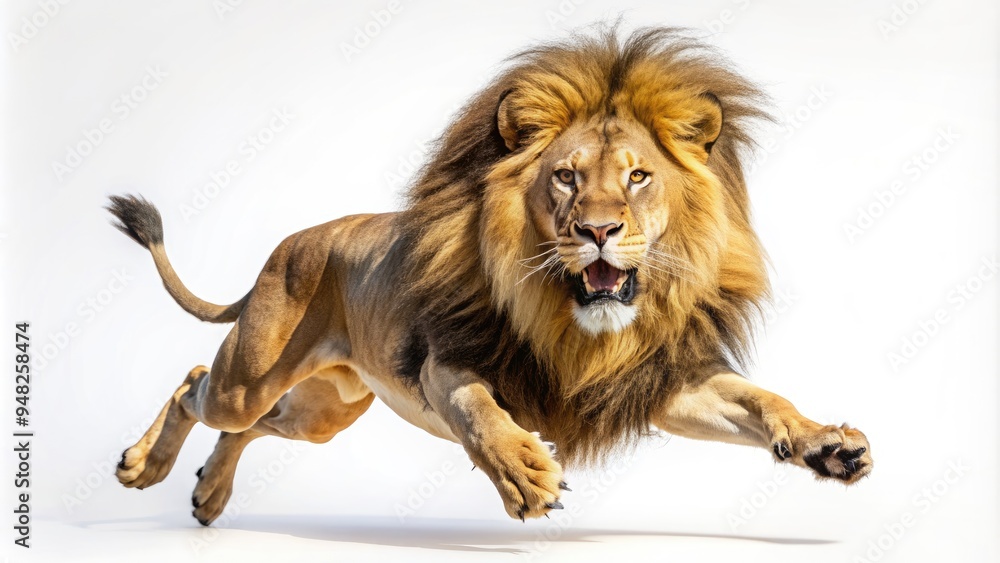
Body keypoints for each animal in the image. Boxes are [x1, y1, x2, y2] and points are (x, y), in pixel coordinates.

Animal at [107, 27, 872, 526]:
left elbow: (762, 400)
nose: (599, 230)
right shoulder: (445, 361)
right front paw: (526, 474)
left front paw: (827, 445)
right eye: (566, 177)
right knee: (194, 388)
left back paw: (208, 493)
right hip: (250, 377)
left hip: (324, 410)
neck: (577, 326)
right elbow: (480, 412)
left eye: (638, 177)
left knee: (249, 424)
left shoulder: (658, 384)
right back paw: (143, 466)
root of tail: (293, 243)